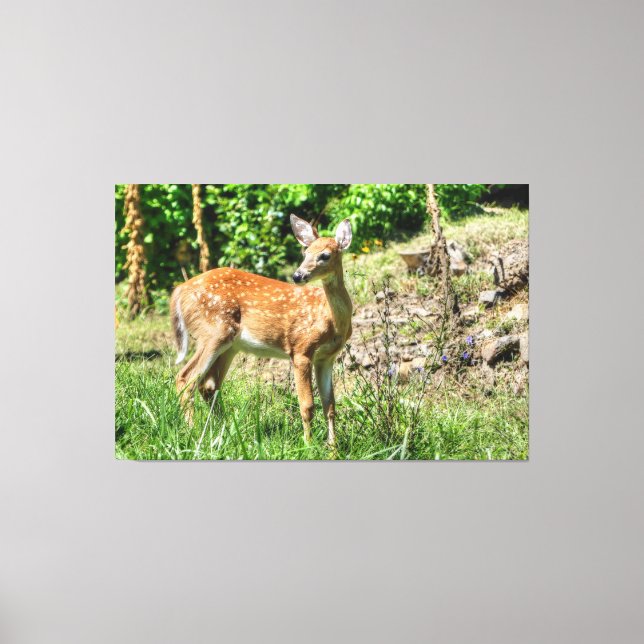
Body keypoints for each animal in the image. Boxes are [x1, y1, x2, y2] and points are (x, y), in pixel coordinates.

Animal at [170, 215, 353, 448]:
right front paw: (309, 445)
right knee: (186, 378)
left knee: (208, 384)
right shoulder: (301, 349)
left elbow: (330, 406)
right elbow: (308, 405)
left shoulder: (327, 357)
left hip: (230, 346)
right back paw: (193, 432)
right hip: (213, 332)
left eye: (325, 255)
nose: (297, 276)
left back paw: (224, 430)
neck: (331, 320)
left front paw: (333, 448)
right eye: (305, 253)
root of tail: (179, 291)